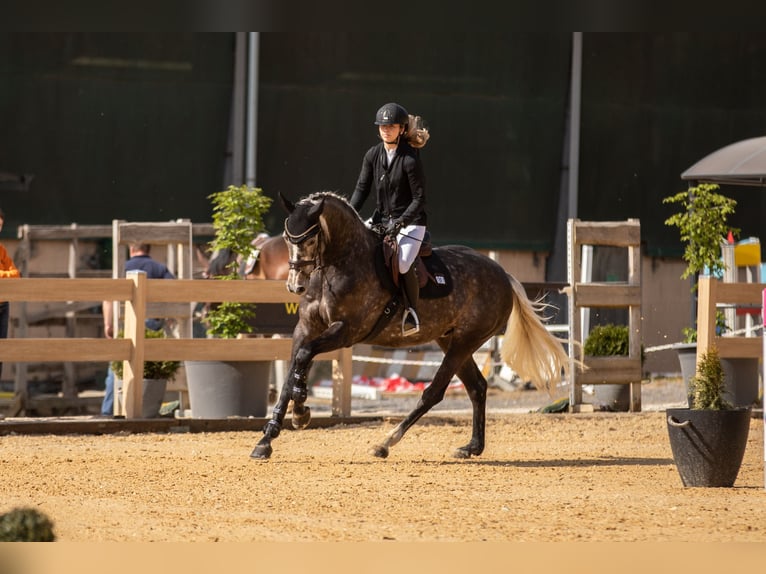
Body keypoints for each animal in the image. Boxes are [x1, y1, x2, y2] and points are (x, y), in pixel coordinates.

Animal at [250, 191, 570, 460]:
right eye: (286, 238)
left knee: (434, 392)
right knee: (477, 386)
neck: (339, 263)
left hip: (464, 342)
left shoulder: (346, 331)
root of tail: (504, 274)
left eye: (309, 239)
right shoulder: (305, 329)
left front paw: (301, 410)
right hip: (450, 340)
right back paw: (471, 447)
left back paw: (385, 442)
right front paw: (268, 438)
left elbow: (304, 357)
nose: (295, 286)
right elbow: (292, 370)